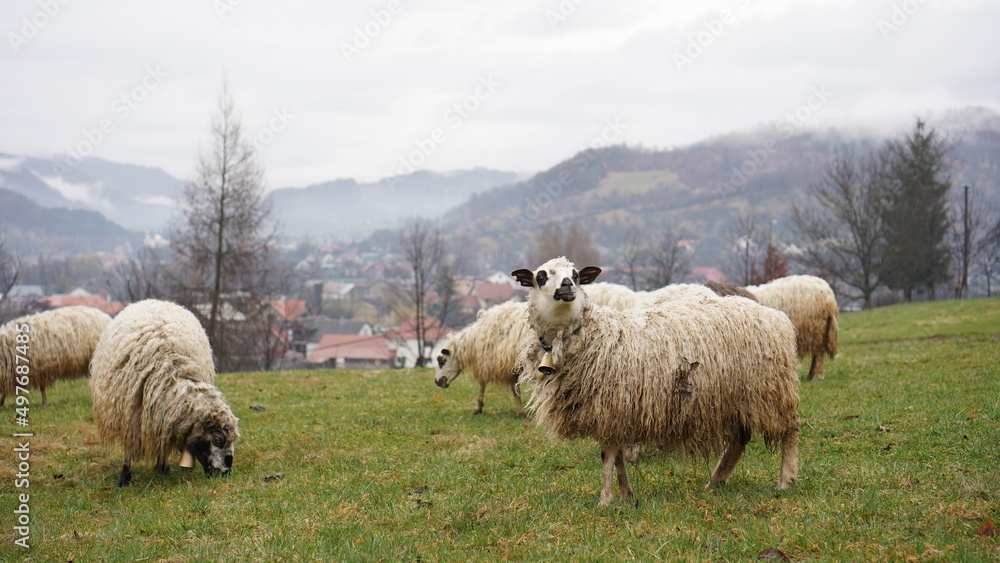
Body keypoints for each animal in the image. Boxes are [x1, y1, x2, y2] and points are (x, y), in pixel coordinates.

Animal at [89, 299, 240, 487]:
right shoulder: (129, 417)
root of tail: (154, 300)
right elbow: (129, 448)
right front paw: (124, 478)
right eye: (218, 439)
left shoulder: (165, 417)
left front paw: (162, 467)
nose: (225, 473)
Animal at [512, 257, 800, 506]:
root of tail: (775, 315)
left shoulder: (611, 407)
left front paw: (605, 500)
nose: (567, 285)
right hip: (736, 396)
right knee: (739, 442)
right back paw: (715, 482)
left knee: (789, 431)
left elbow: (608, 455)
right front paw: (626, 494)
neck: (589, 334)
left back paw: (785, 480)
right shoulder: (615, 414)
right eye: (541, 276)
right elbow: (617, 456)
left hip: (772, 389)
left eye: (576, 275)